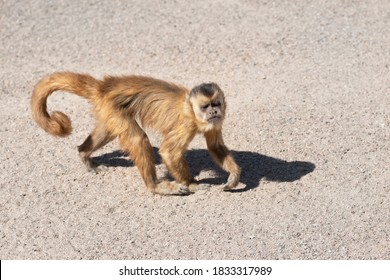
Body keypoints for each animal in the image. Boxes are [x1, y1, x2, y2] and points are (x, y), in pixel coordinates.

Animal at [31, 72, 241, 195]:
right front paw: (191, 184)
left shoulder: (214, 123)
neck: (190, 109)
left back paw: (84, 153)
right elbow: (168, 152)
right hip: (113, 107)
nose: (214, 112)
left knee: (108, 130)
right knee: (138, 139)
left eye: (216, 104)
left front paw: (234, 176)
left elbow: (215, 146)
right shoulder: (186, 124)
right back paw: (154, 186)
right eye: (206, 106)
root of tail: (104, 86)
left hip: (108, 110)